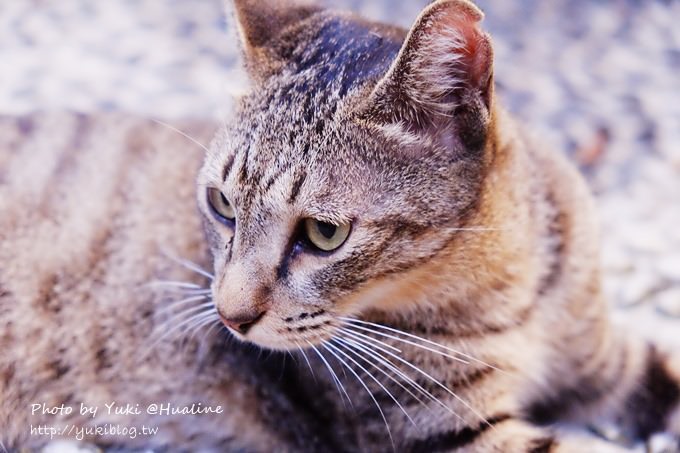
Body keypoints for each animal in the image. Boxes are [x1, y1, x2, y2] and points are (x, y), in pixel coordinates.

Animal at [1, 0, 680, 452]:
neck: (519, 296)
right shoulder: (439, 432)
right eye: (221, 204)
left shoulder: (602, 358)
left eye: (324, 234)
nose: (229, 316)